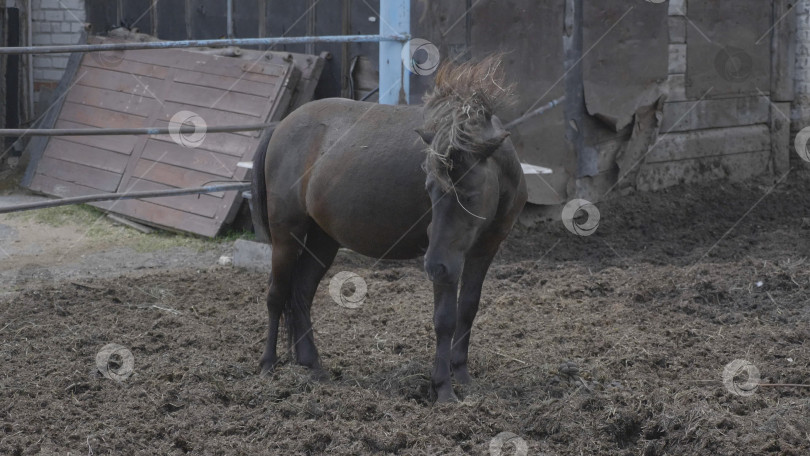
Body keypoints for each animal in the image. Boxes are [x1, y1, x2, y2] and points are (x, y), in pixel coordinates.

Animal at [254, 57, 532, 402]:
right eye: (430, 189)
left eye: (469, 195)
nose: (434, 266)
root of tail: (280, 127)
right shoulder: (451, 259)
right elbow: (445, 319)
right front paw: (443, 388)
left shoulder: (484, 248)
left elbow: (468, 308)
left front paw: (462, 377)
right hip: (285, 235)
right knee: (276, 294)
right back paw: (268, 365)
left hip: (323, 239)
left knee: (301, 292)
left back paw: (313, 366)